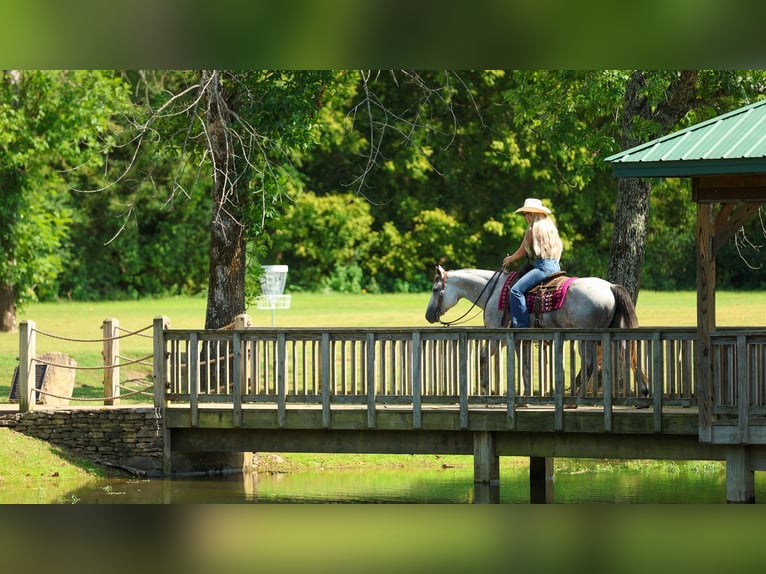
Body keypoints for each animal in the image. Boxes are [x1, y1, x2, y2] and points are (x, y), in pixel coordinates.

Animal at [424, 265, 648, 399]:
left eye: (435, 290)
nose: (428, 315)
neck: (493, 292)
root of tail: (610, 287)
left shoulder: (498, 337)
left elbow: (483, 357)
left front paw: (487, 388)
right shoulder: (518, 340)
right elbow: (524, 366)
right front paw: (525, 392)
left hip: (587, 338)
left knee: (593, 366)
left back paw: (576, 393)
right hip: (613, 334)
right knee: (628, 359)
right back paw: (644, 390)